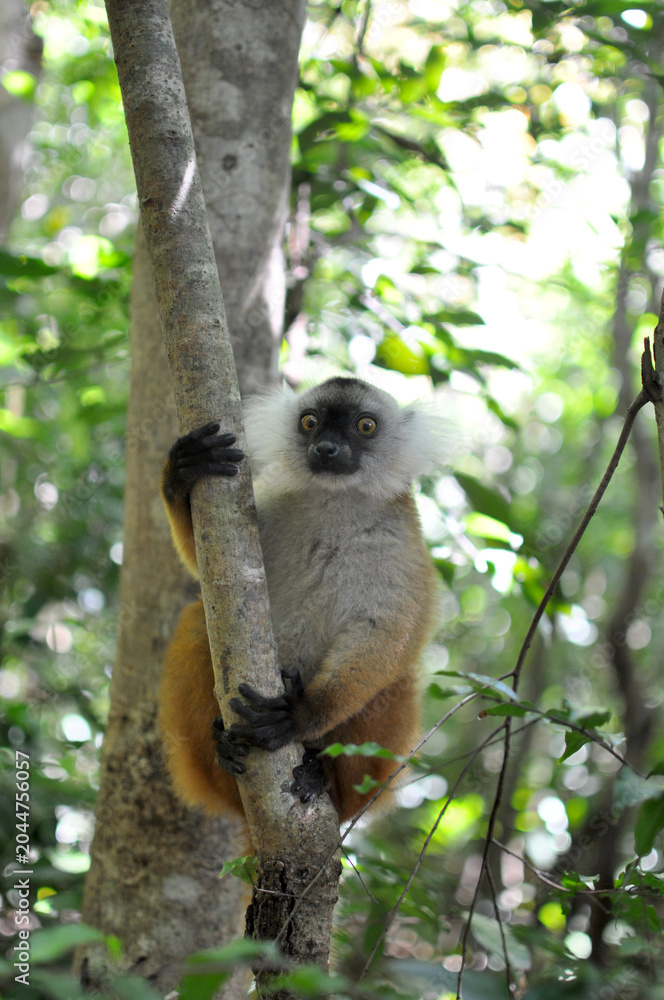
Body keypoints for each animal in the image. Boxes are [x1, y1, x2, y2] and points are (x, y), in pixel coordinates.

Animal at [158, 376, 439, 824]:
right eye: (310, 422)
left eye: (365, 426)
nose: (326, 448)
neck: (334, 500)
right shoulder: (271, 509)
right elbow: (205, 569)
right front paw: (183, 471)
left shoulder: (399, 547)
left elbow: (385, 632)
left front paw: (300, 714)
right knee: (197, 623)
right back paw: (224, 753)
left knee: (397, 679)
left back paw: (323, 777)